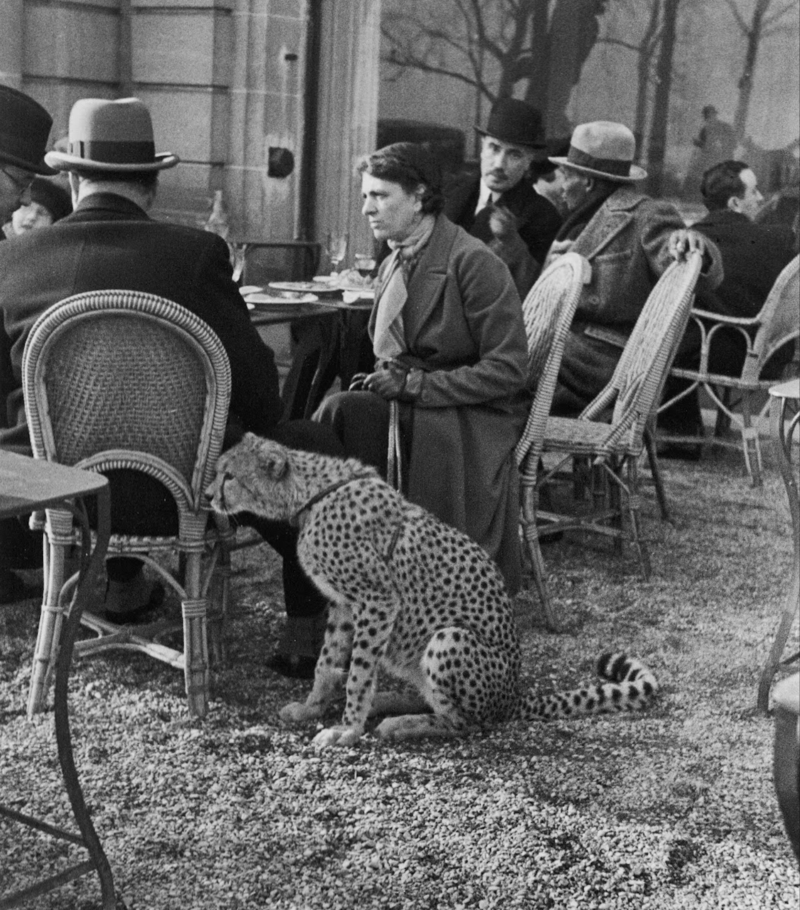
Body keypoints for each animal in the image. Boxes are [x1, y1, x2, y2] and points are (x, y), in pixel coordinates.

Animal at [205, 438, 656, 752]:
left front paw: (347, 728)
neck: (311, 494)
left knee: (465, 723)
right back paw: (388, 701)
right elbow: (328, 663)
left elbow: (359, 672)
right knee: (433, 701)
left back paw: (398, 724)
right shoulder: (344, 605)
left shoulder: (377, 601)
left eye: (230, 476)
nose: (208, 496)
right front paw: (313, 706)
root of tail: (514, 696)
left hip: (447, 638)